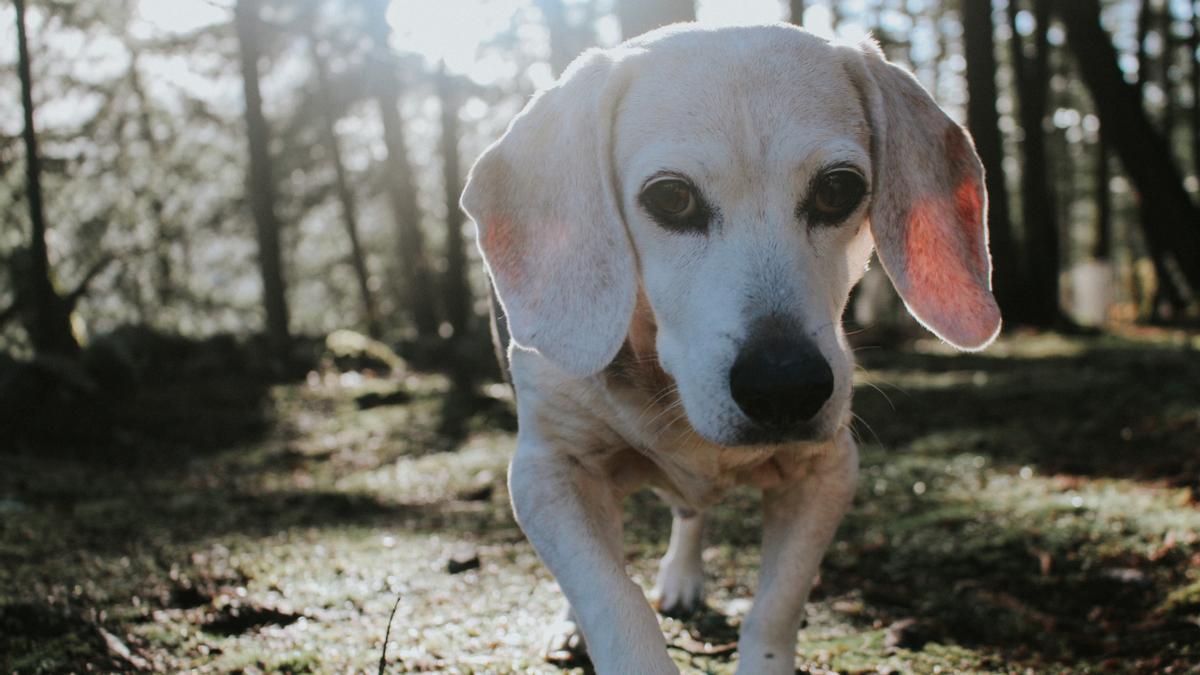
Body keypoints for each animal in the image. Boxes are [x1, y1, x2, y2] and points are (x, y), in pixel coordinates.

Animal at [460, 22, 1003, 672]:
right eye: (671, 198)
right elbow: (612, 598)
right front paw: (600, 624)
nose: (786, 386)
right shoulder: (548, 473)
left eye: (838, 189)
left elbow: (776, 608)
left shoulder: (826, 472)